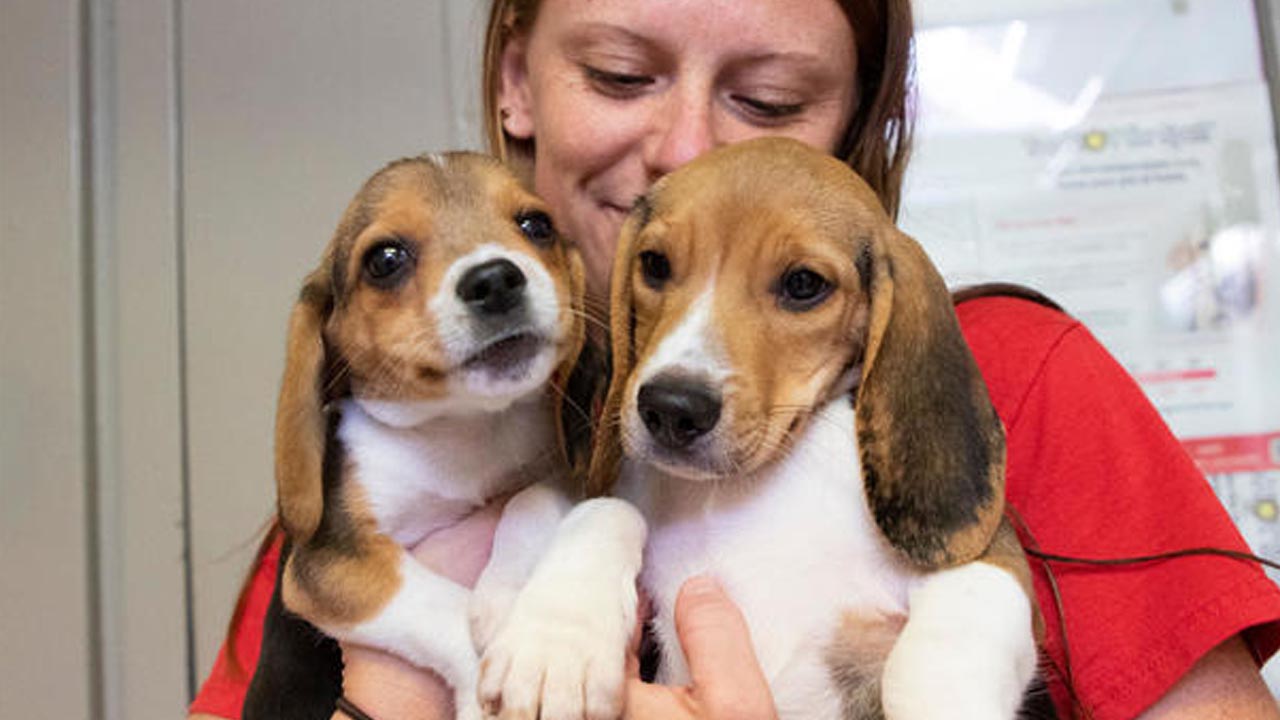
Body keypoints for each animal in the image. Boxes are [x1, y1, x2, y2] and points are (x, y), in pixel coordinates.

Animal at [261, 151, 645, 717]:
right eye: (385, 259)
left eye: (537, 225)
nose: (496, 279)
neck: (464, 426)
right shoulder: (331, 563)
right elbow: (437, 604)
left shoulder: (558, 471)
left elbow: (528, 498)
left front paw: (505, 598)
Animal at [588, 137, 1039, 712]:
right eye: (654, 264)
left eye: (804, 284)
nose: (671, 407)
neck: (741, 489)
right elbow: (603, 514)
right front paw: (555, 655)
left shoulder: (992, 562)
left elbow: (932, 659)